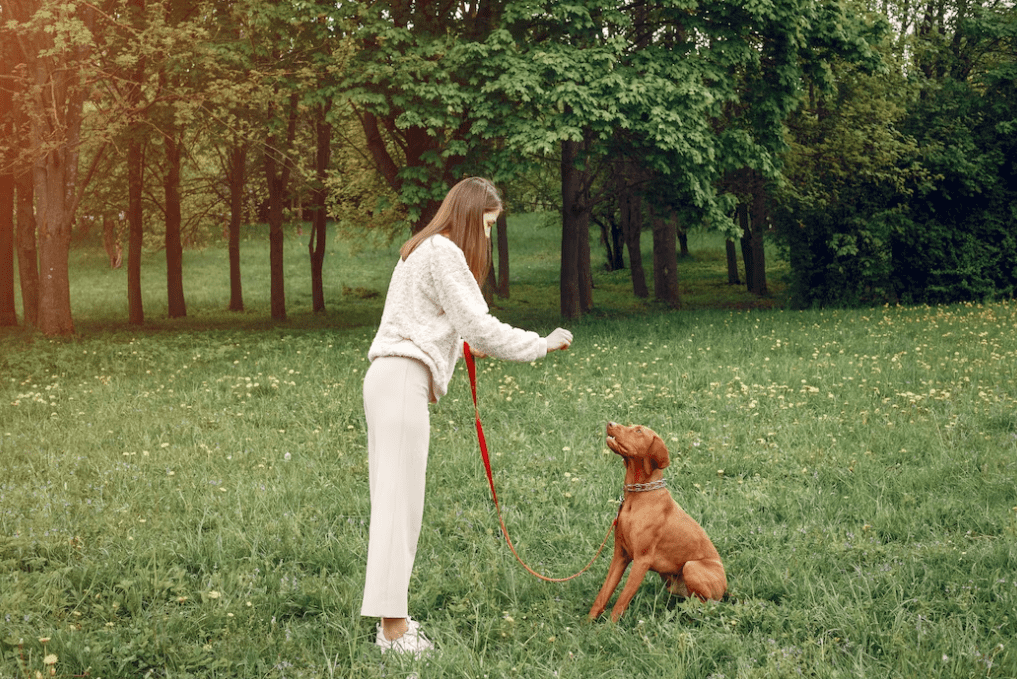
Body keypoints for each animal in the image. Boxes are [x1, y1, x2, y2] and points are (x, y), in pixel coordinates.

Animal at [589, 420, 724, 622]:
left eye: (638, 431)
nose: (610, 423)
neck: (637, 498)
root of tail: (726, 588)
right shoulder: (620, 555)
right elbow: (603, 594)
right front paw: (587, 624)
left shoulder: (642, 560)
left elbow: (620, 602)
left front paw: (608, 628)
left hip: (691, 567)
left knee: (708, 605)